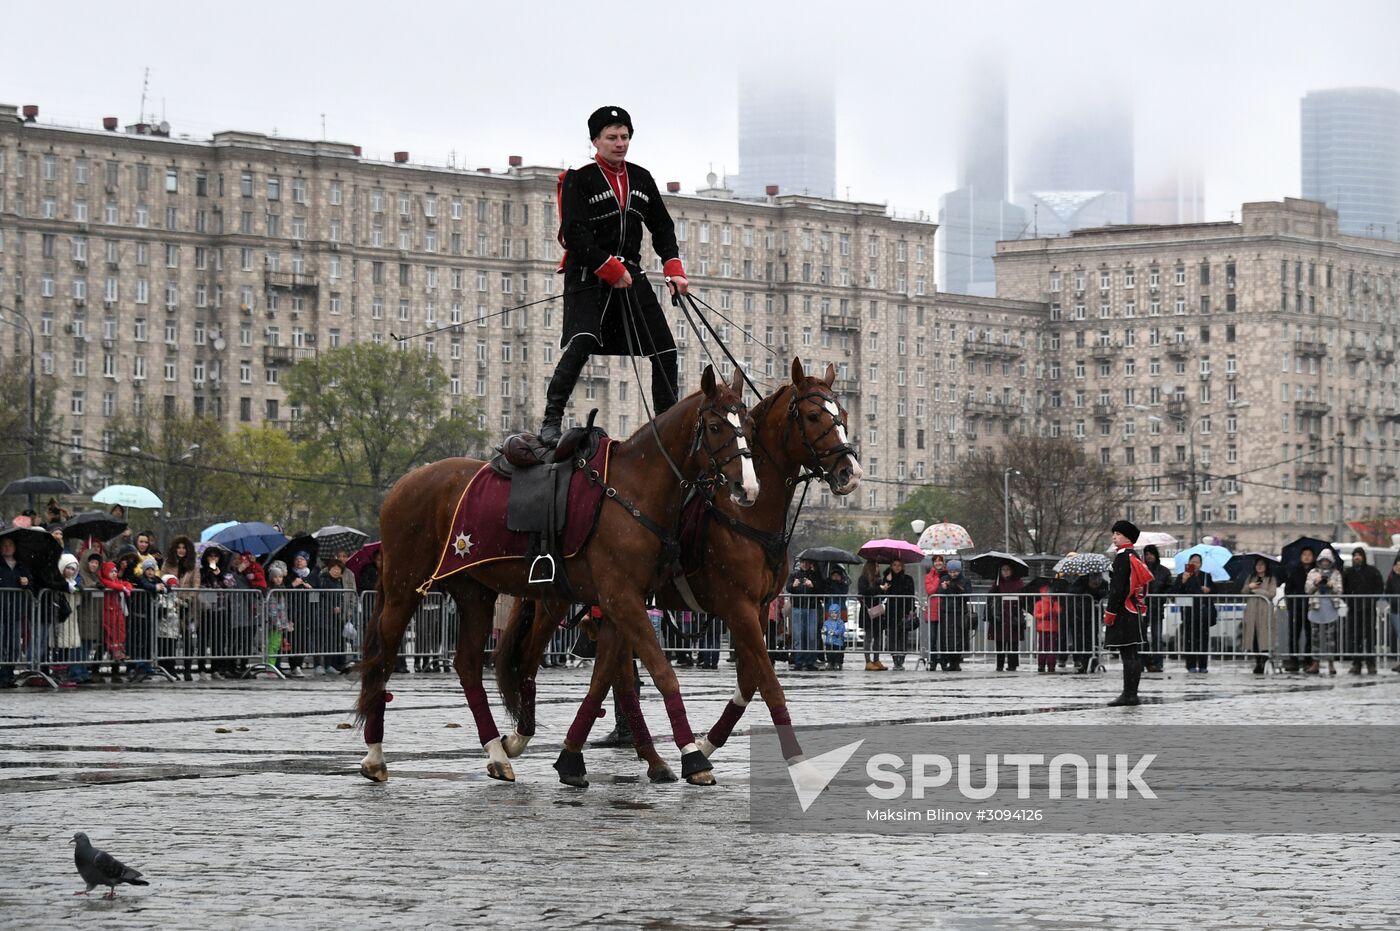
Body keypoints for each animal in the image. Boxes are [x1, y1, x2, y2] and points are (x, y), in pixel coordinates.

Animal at [355, 364, 761, 784]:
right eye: (715, 426)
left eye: (748, 423)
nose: (747, 488)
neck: (631, 492)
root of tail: (405, 482)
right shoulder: (622, 599)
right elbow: (662, 673)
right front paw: (692, 756)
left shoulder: (618, 605)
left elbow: (605, 679)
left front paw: (571, 756)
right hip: (405, 588)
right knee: (382, 658)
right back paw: (375, 755)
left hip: (475, 593)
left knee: (467, 665)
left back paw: (497, 752)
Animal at [498, 358, 856, 778]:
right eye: (814, 415)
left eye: (843, 414)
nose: (851, 472)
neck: (744, 514)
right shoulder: (738, 608)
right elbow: (768, 682)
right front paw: (797, 760)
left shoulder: (759, 608)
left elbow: (750, 680)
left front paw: (706, 743)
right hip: (561, 601)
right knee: (535, 660)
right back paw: (524, 740)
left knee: (617, 678)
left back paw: (637, 756)